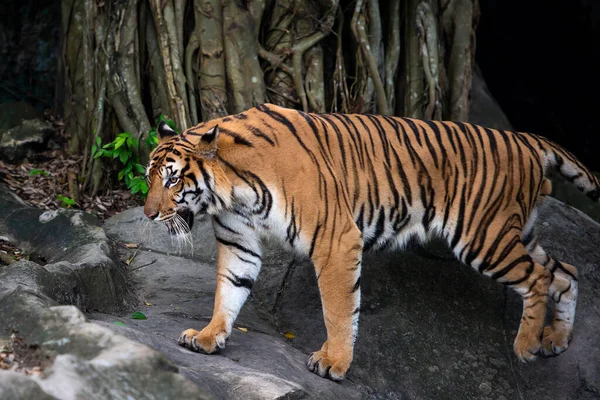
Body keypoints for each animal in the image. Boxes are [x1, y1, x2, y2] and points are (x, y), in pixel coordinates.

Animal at [143, 102, 596, 382]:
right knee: (567, 272)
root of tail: (523, 138)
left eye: (172, 179)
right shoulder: (240, 242)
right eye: (150, 178)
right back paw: (555, 340)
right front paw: (208, 336)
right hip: (515, 235)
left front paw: (334, 363)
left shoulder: (336, 239)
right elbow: (228, 292)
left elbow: (339, 310)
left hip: (485, 238)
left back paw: (526, 346)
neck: (232, 189)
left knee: (539, 278)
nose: (147, 214)